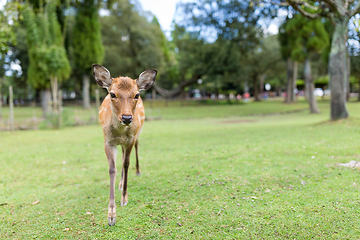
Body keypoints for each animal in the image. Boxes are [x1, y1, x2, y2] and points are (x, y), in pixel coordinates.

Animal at [93, 63, 156, 225]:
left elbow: (127, 164)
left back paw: (137, 171)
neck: (120, 132)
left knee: (136, 149)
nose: (127, 118)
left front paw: (124, 199)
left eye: (137, 95)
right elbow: (112, 169)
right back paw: (120, 184)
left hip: (138, 133)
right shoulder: (108, 141)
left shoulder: (130, 140)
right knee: (121, 157)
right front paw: (111, 215)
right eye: (112, 94)